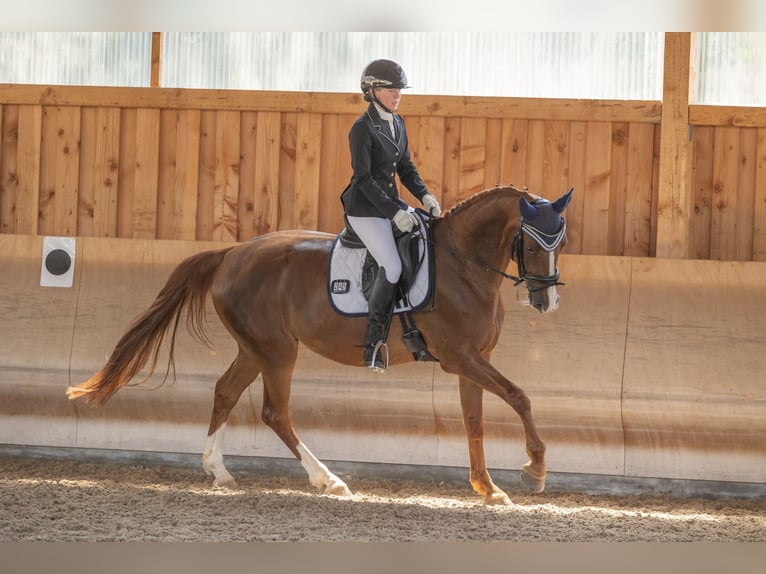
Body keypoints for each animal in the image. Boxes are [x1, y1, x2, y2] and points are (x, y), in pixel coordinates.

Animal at [66, 183, 572, 504]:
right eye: (532, 244)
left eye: (560, 243)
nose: (547, 302)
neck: (462, 264)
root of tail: (233, 253)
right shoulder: (460, 357)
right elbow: (519, 397)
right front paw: (535, 469)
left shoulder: (473, 359)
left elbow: (474, 421)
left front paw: (489, 489)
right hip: (277, 351)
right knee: (275, 412)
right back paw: (327, 480)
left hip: (256, 348)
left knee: (225, 392)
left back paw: (220, 471)